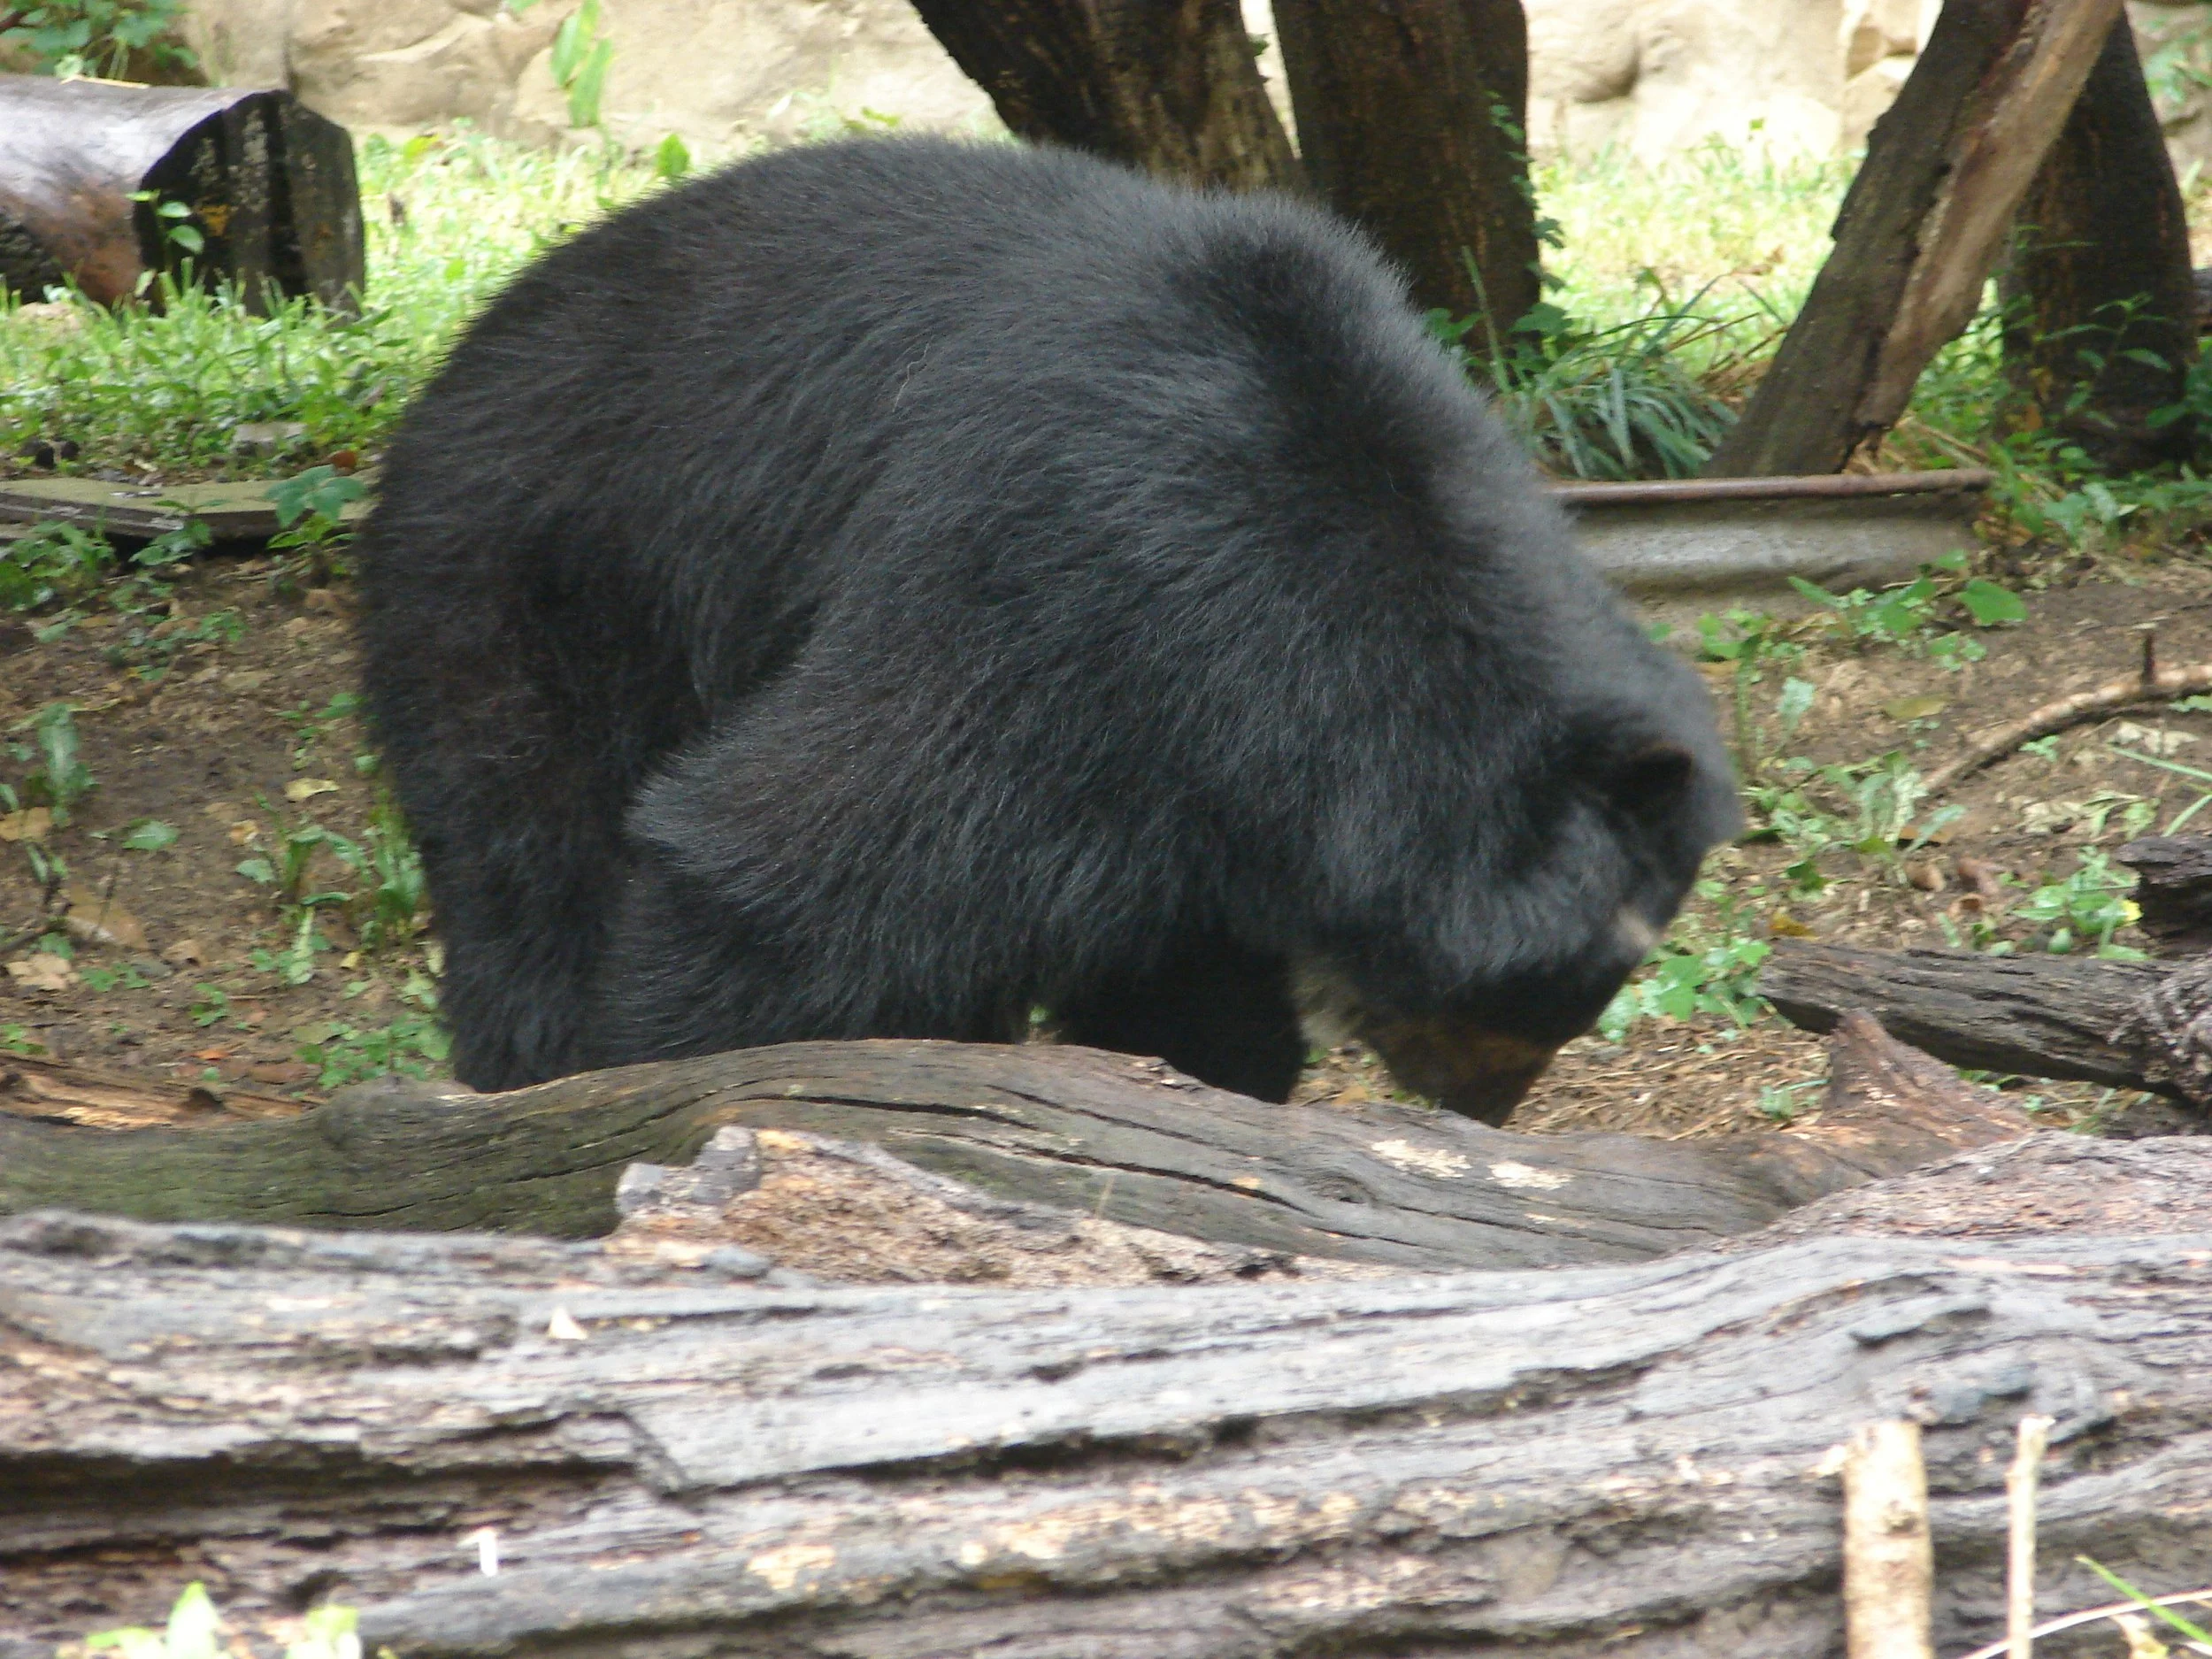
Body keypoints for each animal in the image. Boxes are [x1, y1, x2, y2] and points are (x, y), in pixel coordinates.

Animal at [355, 136, 1739, 1122]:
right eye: (1524, 993)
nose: (1481, 1106)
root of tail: (458, 369)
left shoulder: (1202, 746)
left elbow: (1179, 970)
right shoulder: (1064, 566)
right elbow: (785, 857)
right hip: (529, 583)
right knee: (538, 856)